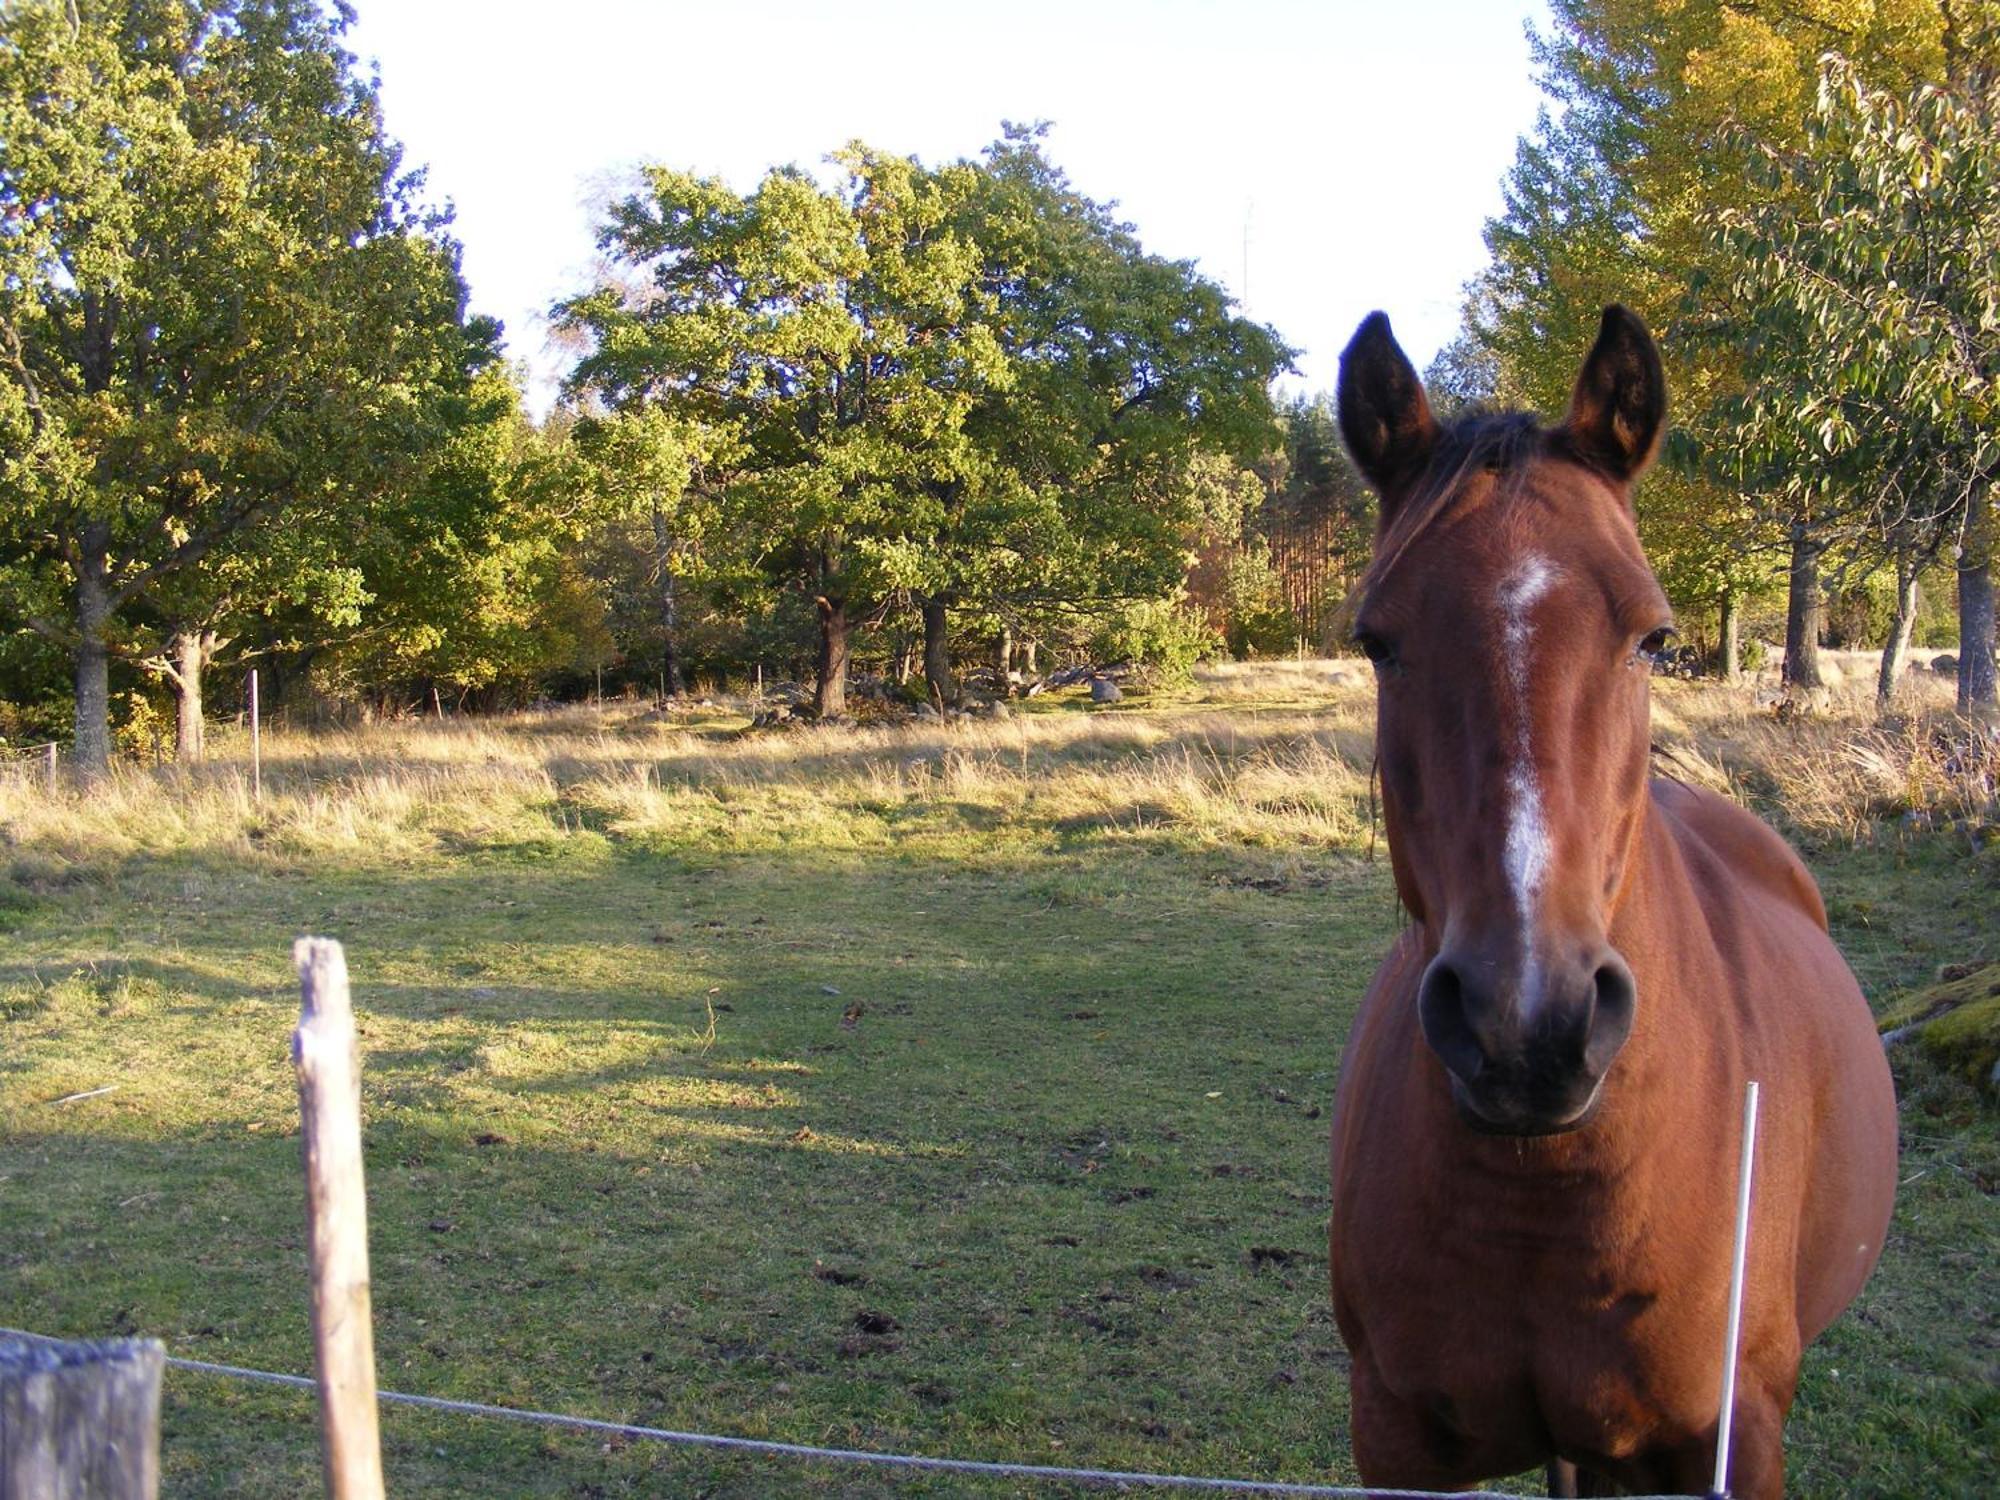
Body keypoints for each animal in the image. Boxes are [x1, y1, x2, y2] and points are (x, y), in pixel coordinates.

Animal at [1328, 308, 1888, 1500]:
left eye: (1653, 637)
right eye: (1377, 641)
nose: (1526, 1027)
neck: (1540, 1192)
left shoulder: (1730, 1442)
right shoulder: (1392, 1436)